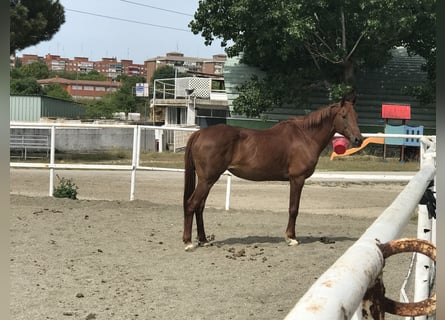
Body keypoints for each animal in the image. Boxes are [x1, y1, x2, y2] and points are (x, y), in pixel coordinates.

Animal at [180, 94, 360, 251]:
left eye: (355, 115)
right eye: (344, 115)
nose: (358, 139)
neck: (305, 136)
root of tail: (199, 133)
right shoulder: (297, 179)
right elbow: (293, 208)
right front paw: (291, 238)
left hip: (208, 180)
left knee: (199, 207)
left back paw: (203, 240)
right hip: (207, 180)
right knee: (191, 204)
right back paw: (188, 243)